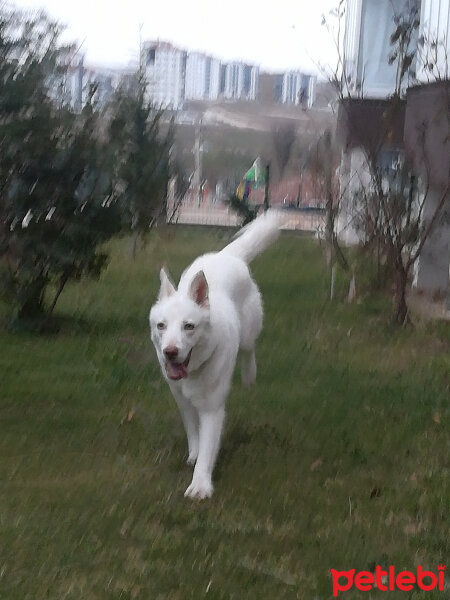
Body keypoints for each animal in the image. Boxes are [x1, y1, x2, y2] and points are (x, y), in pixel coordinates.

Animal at [149, 209, 282, 500]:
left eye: (189, 326)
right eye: (161, 326)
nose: (170, 353)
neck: (194, 370)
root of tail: (228, 256)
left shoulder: (212, 409)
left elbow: (208, 446)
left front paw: (200, 485)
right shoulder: (183, 401)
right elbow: (194, 433)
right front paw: (195, 453)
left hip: (249, 332)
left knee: (249, 349)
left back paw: (249, 376)